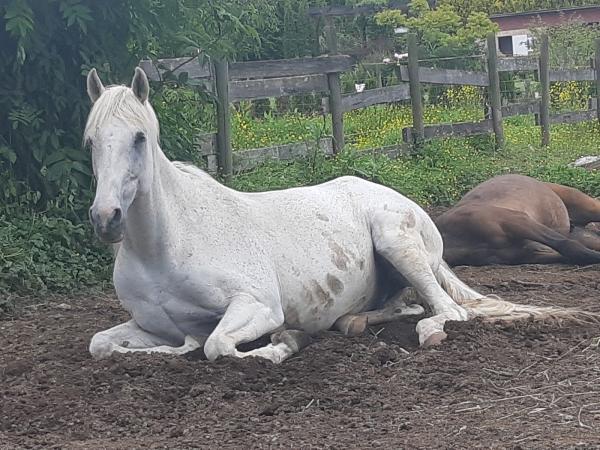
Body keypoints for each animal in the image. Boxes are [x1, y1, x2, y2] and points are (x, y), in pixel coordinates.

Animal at [434, 175, 600, 268]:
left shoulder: (517, 221)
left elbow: (568, 246)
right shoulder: (527, 253)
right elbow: (572, 255)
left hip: (588, 207)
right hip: (581, 234)